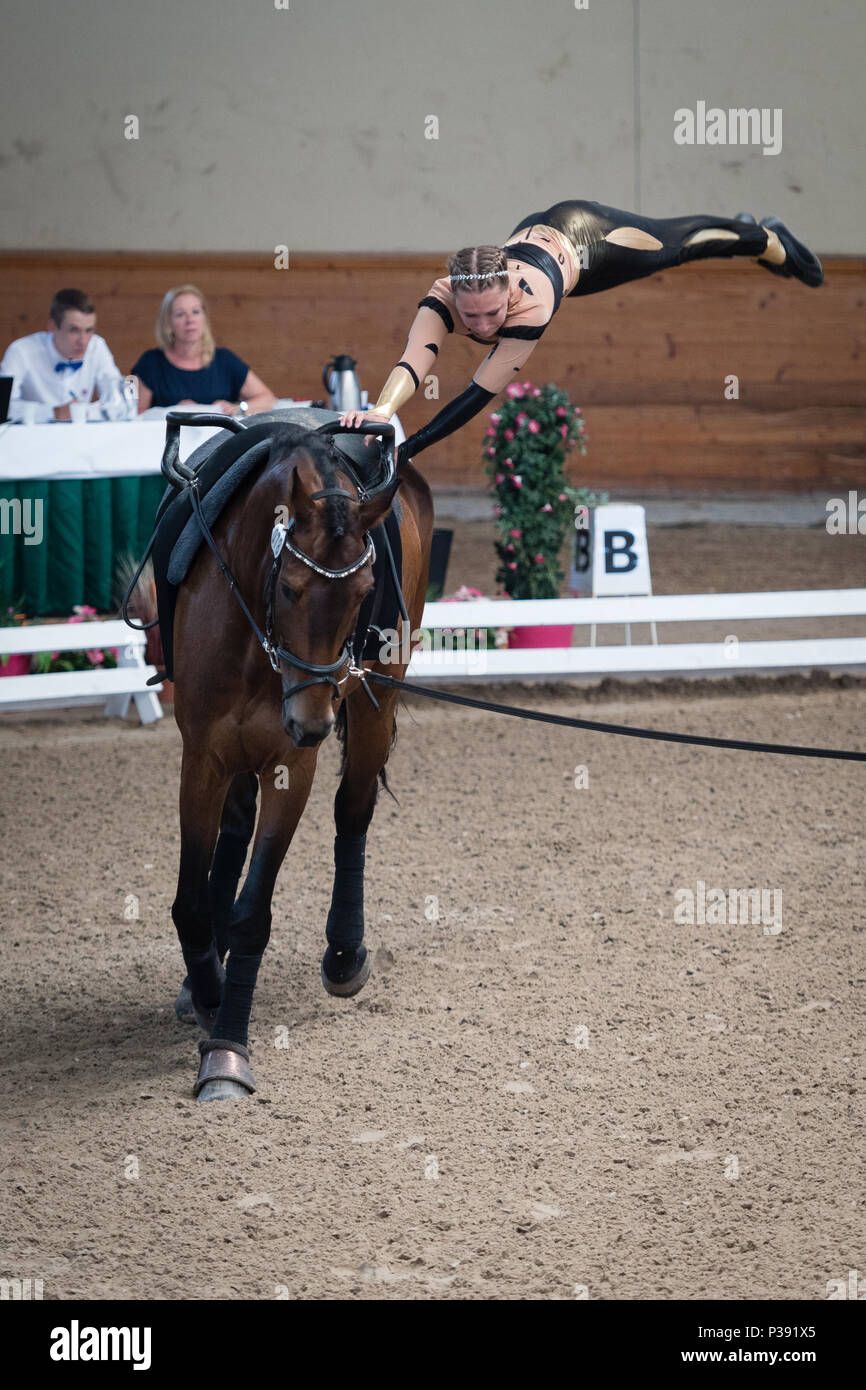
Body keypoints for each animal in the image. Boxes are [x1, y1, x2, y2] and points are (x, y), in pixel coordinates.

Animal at [166, 408, 433, 1095]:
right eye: (287, 587)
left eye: (364, 588)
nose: (312, 723)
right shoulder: (202, 758)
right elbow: (191, 902)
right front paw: (205, 988)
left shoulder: (292, 765)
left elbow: (253, 914)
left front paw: (227, 1049)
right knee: (235, 828)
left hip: (375, 702)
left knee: (353, 810)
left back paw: (344, 952)